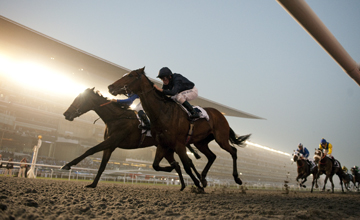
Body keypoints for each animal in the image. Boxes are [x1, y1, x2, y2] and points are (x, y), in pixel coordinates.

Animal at [60, 87, 198, 190]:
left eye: (80, 100)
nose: (66, 114)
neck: (116, 117)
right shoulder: (110, 145)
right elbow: (102, 165)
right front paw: (93, 184)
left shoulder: (112, 140)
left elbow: (90, 150)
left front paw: (67, 165)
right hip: (166, 148)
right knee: (178, 164)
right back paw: (184, 184)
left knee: (185, 162)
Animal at [107, 65, 250, 191]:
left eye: (131, 75)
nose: (110, 86)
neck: (162, 113)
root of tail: (220, 114)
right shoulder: (163, 144)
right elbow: (155, 165)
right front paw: (180, 173)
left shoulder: (179, 144)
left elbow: (186, 166)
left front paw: (198, 186)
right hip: (201, 142)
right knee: (212, 156)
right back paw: (203, 178)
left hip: (221, 138)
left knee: (233, 151)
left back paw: (237, 179)